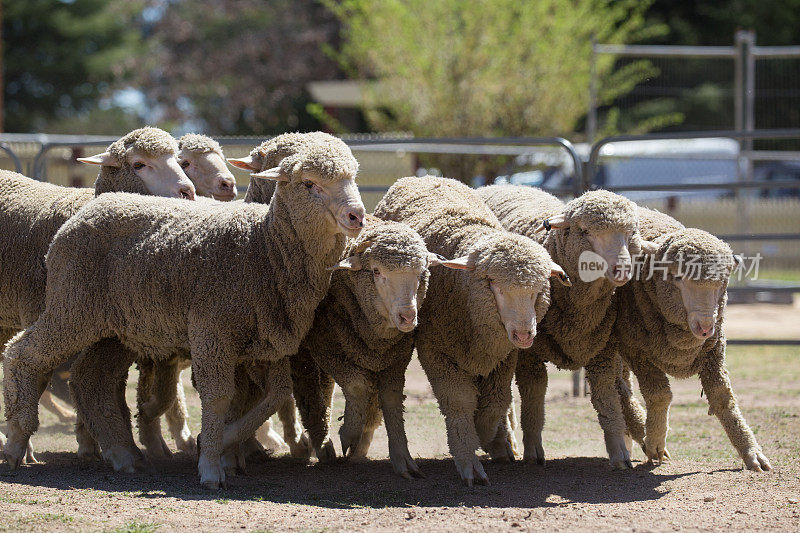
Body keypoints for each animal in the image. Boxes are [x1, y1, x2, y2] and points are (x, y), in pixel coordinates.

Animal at [376, 176, 568, 486]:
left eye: (539, 289)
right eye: (494, 284)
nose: (525, 335)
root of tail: (423, 177)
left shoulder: (503, 356)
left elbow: (495, 402)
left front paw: (490, 437)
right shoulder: (436, 351)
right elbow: (460, 402)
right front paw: (470, 458)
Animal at [478, 185, 652, 468]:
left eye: (630, 234)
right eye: (586, 231)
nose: (623, 269)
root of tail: (495, 185)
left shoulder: (603, 349)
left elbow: (607, 396)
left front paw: (620, 451)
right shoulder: (529, 352)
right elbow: (534, 397)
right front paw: (533, 450)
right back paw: (505, 442)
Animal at [608, 207, 772, 470]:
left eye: (723, 282)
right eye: (676, 278)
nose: (705, 327)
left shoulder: (713, 350)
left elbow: (722, 396)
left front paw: (752, 452)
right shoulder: (636, 349)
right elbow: (660, 395)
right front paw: (655, 442)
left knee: (621, 384)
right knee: (619, 388)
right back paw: (638, 433)